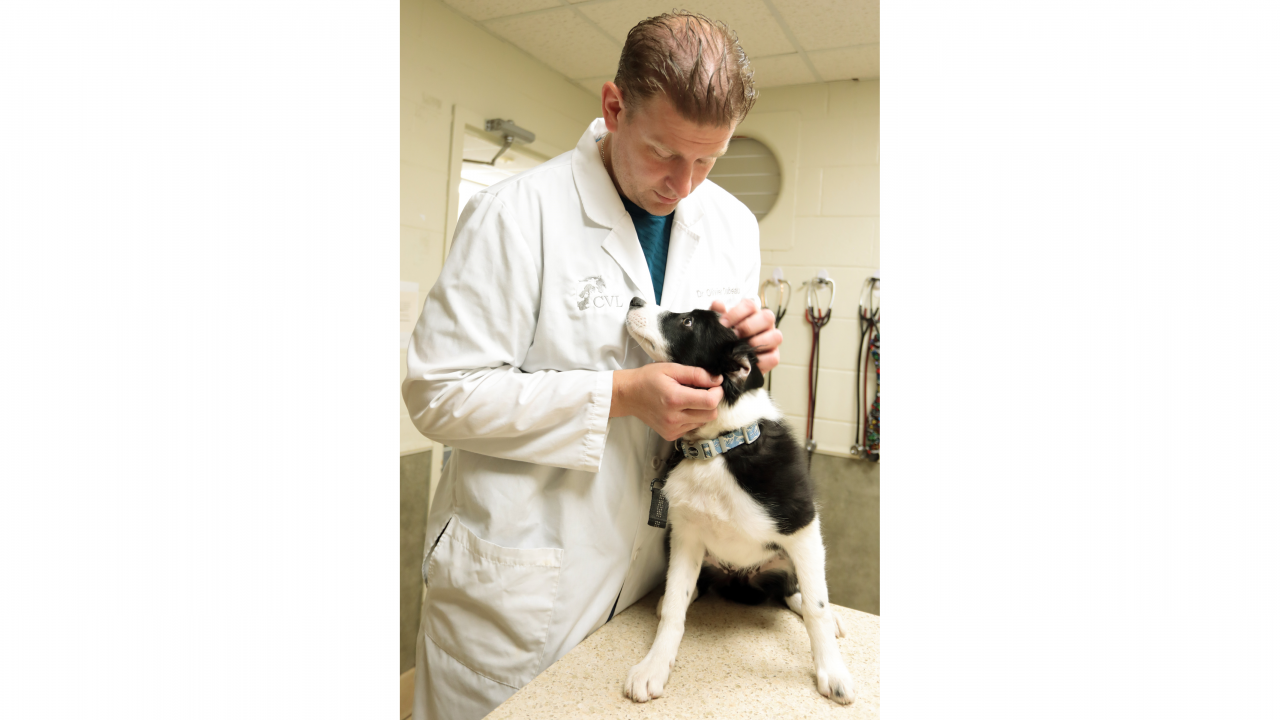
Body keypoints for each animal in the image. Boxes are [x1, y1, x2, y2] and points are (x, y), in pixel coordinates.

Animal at [622, 295, 855, 702]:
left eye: (687, 322)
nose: (635, 300)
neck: (717, 448)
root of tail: (741, 579)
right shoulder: (686, 534)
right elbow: (676, 607)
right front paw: (654, 666)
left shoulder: (802, 524)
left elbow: (817, 605)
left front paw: (833, 672)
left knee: (796, 589)